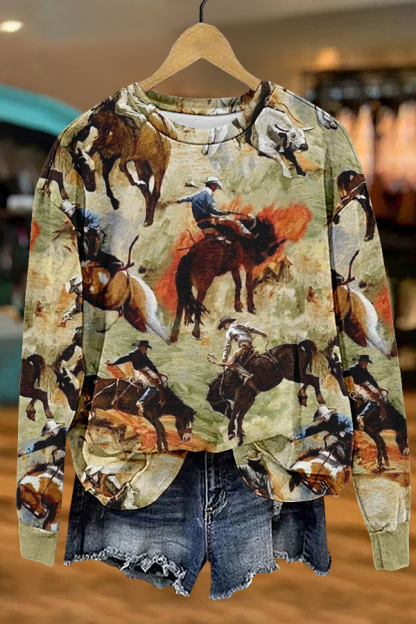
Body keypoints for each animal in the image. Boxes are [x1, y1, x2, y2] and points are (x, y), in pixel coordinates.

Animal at [68, 96, 172, 225]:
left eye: (85, 166)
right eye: (77, 168)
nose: (90, 188)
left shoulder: (128, 152)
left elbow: (122, 167)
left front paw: (136, 183)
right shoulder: (109, 158)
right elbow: (106, 175)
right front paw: (115, 202)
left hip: (157, 164)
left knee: (156, 191)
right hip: (142, 165)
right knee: (148, 191)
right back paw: (147, 218)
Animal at [207, 339, 346, 446]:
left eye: (217, 407)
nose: (226, 414)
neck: (228, 380)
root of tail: (298, 346)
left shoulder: (242, 396)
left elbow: (236, 413)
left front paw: (231, 432)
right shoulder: (249, 399)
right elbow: (240, 416)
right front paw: (240, 437)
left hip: (293, 374)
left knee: (314, 380)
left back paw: (319, 398)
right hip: (296, 374)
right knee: (310, 379)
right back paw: (303, 396)